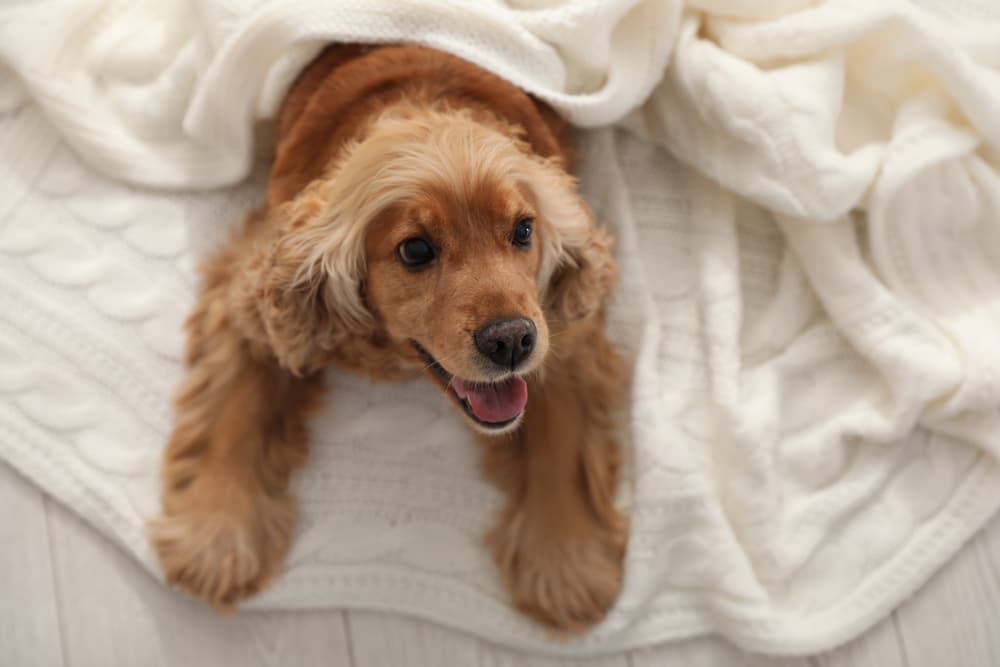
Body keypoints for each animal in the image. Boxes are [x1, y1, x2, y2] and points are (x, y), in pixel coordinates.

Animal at [148, 44, 624, 636]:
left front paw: (565, 560)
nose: (512, 340)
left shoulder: (565, 331)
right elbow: (235, 409)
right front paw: (214, 535)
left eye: (523, 230)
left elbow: (563, 437)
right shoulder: (251, 291)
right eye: (415, 250)